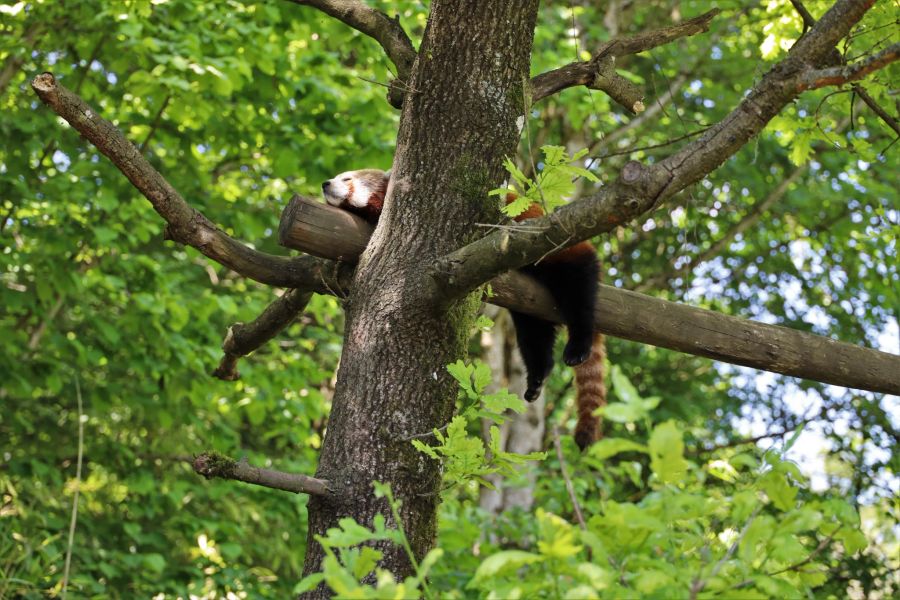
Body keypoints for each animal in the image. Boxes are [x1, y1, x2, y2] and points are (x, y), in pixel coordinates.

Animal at [320, 169, 608, 450]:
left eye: (347, 179)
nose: (325, 183)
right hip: (532, 302)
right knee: (534, 336)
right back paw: (536, 378)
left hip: (563, 255)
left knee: (578, 299)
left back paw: (578, 347)